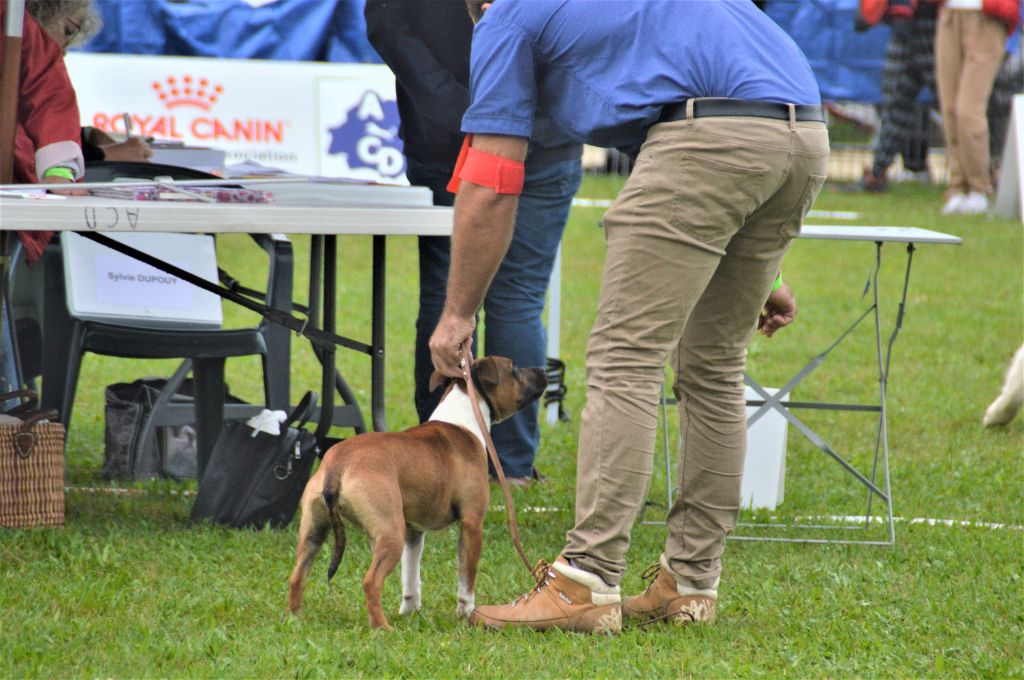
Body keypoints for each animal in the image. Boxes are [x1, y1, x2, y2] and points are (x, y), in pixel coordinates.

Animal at [284, 356, 548, 630]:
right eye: (514, 368)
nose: (543, 369)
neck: (463, 418)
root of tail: (337, 463)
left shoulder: (413, 532)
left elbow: (410, 577)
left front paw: (410, 612)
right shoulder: (472, 523)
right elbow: (467, 578)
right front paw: (466, 613)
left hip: (315, 531)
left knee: (297, 576)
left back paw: (295, 619)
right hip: (390, 534)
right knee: (371, 581)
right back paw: (382, 627)